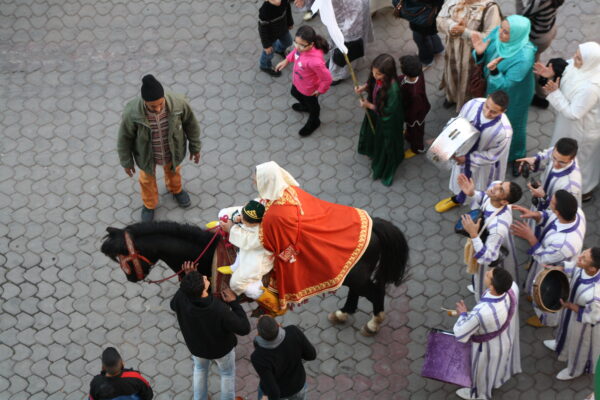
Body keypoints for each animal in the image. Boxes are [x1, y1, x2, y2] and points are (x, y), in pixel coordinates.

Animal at [102, 219, 408, 334]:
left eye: (122, 258)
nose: (131, 280)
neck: (203, 254)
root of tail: (374, 226)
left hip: (358, 277)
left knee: (376, 291)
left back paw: (373, 323)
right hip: (350, 276)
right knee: (359, 292)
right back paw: (343, 313)